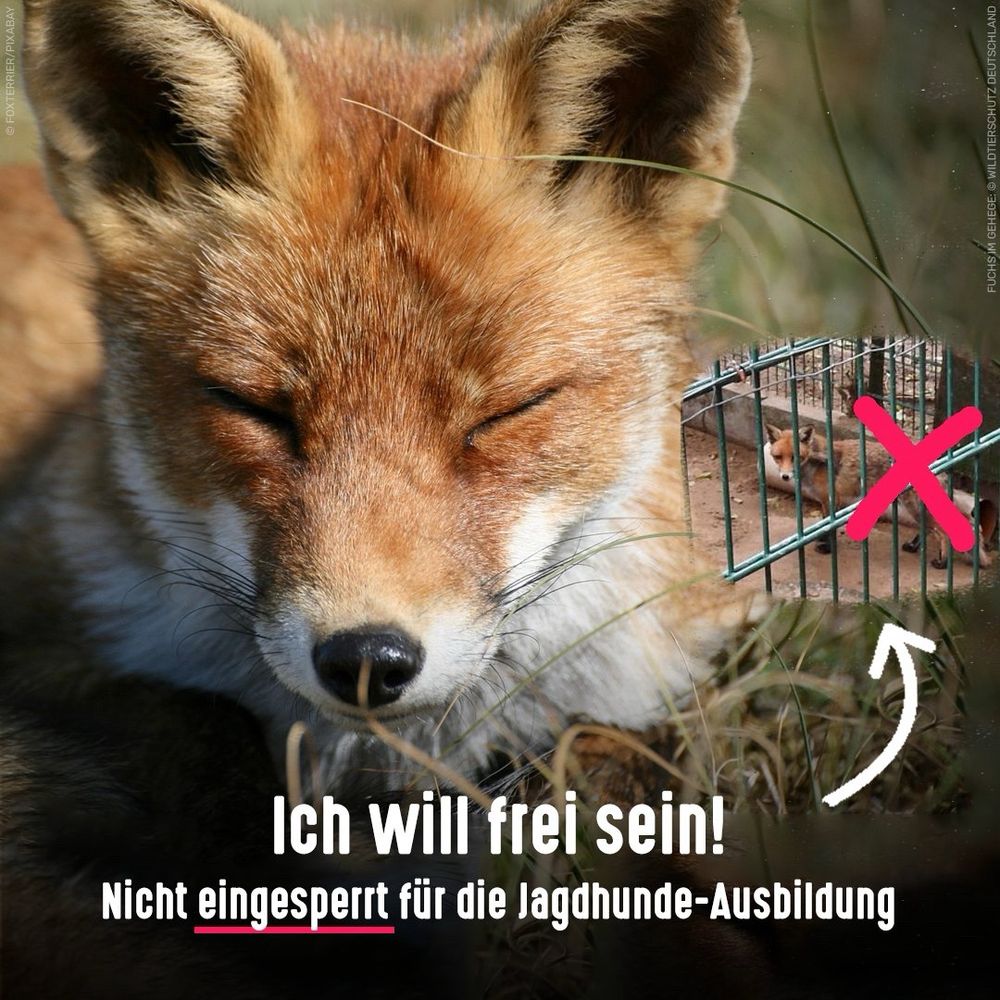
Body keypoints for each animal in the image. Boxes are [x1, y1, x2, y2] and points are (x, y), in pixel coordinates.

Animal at [766, 424, 996, 568]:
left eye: (795, 457)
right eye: (777, 457)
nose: (785, 477)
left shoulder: (832, 500)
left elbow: (829, 528)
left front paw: (828, 548)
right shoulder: (827, 502)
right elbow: (824, 526)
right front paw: (823, 543)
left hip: (913, 506)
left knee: (941, 533)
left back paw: (942, 563)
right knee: (927, 529)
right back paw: (913, 547)